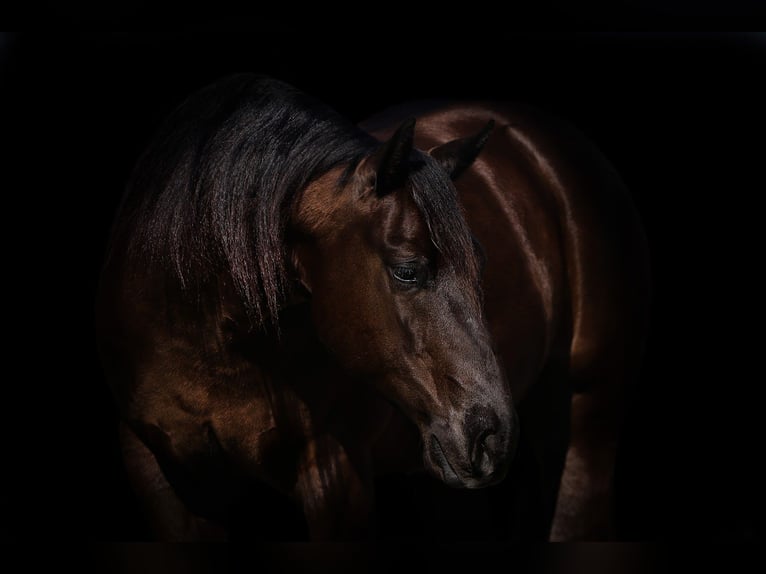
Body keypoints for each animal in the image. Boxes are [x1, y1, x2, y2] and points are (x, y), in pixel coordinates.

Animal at [95, 73, 650, 541]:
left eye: (481, 264)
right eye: (406, 270)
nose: (493, 434)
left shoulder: (334, 480)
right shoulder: (164, 481)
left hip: (586, 425)